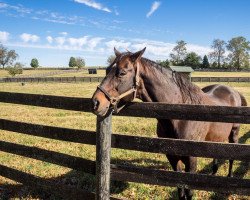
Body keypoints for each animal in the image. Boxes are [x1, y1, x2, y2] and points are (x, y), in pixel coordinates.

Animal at [91, 47, 247, 199]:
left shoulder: (191, 159)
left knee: (232, 156)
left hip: (234, 134)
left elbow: (189, 191)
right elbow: (180, 189)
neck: (180, 116)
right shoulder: (172, 156)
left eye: (122, 73)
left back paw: (228, 181)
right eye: (106, 70)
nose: (95, 102)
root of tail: (233, 91)